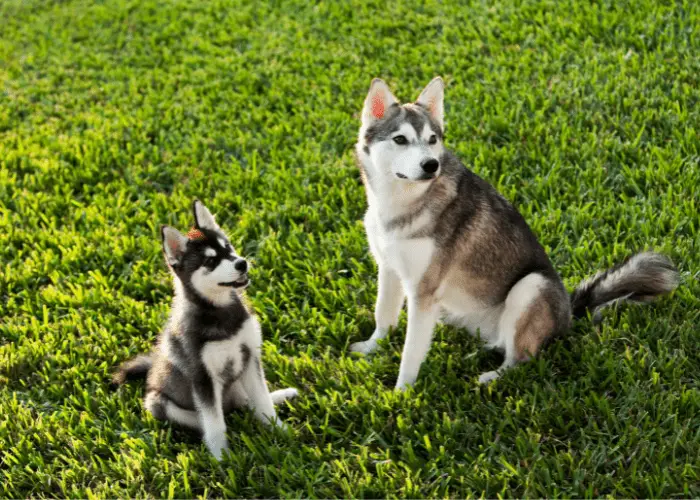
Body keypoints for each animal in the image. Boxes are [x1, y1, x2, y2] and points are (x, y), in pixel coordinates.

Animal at [113, 201, 298, 458]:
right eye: (210, 262)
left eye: (227, 247)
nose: (242, 263)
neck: (219, 311)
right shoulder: (202, 377)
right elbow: (215, 423)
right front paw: (222, 458)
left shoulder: (249, 357)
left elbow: (262, 402)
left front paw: (280, 430)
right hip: (157, 402)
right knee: (210, 418)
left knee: (245, 402)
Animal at [350, 77, 680, 390]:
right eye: (400, 139)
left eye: (432, 139)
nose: (431, 165)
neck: (401, 202)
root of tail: (569, 314)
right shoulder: (389, 269)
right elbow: (384, 314)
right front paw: (373, 346)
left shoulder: (423, 291)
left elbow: (411, 350)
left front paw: (402, 392)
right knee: (500, 343)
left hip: (530, 286)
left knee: (521, 357)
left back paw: (492, 376)